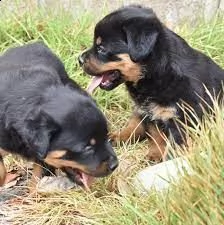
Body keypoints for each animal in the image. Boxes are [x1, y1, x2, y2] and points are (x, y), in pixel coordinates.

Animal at [79, 4, 224, 162]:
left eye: (102, 48)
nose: (79, 60)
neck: (156, 73)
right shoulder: (148, 110)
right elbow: (154, 133)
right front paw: (155, 152)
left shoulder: (182, 118)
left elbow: (174, 143)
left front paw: (162, 157)